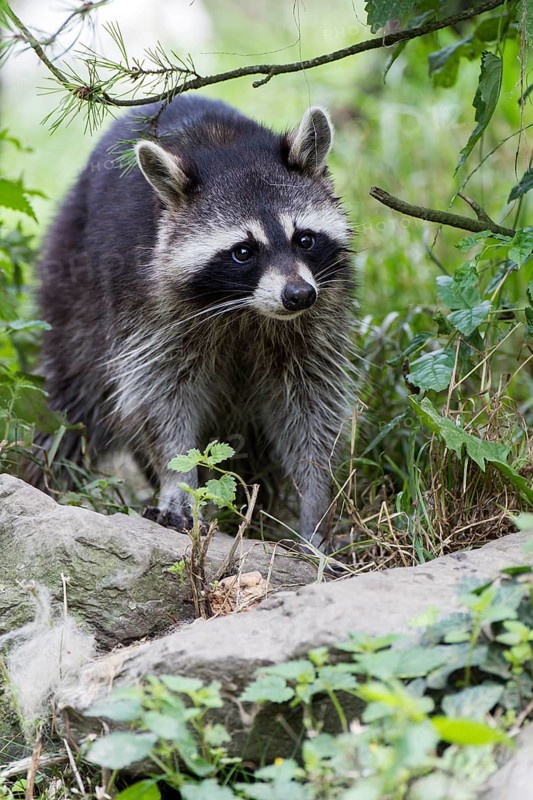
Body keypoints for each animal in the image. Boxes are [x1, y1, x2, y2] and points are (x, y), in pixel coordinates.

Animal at [36, 96, 355, 547]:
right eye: (243, 251)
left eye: (304, 239)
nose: (298, 296)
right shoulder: (149, 308)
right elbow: (160, 397)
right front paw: (177, 483)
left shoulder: (320, 314)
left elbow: (310, 402)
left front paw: (315, 500)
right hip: (72, 287)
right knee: (73, 399)